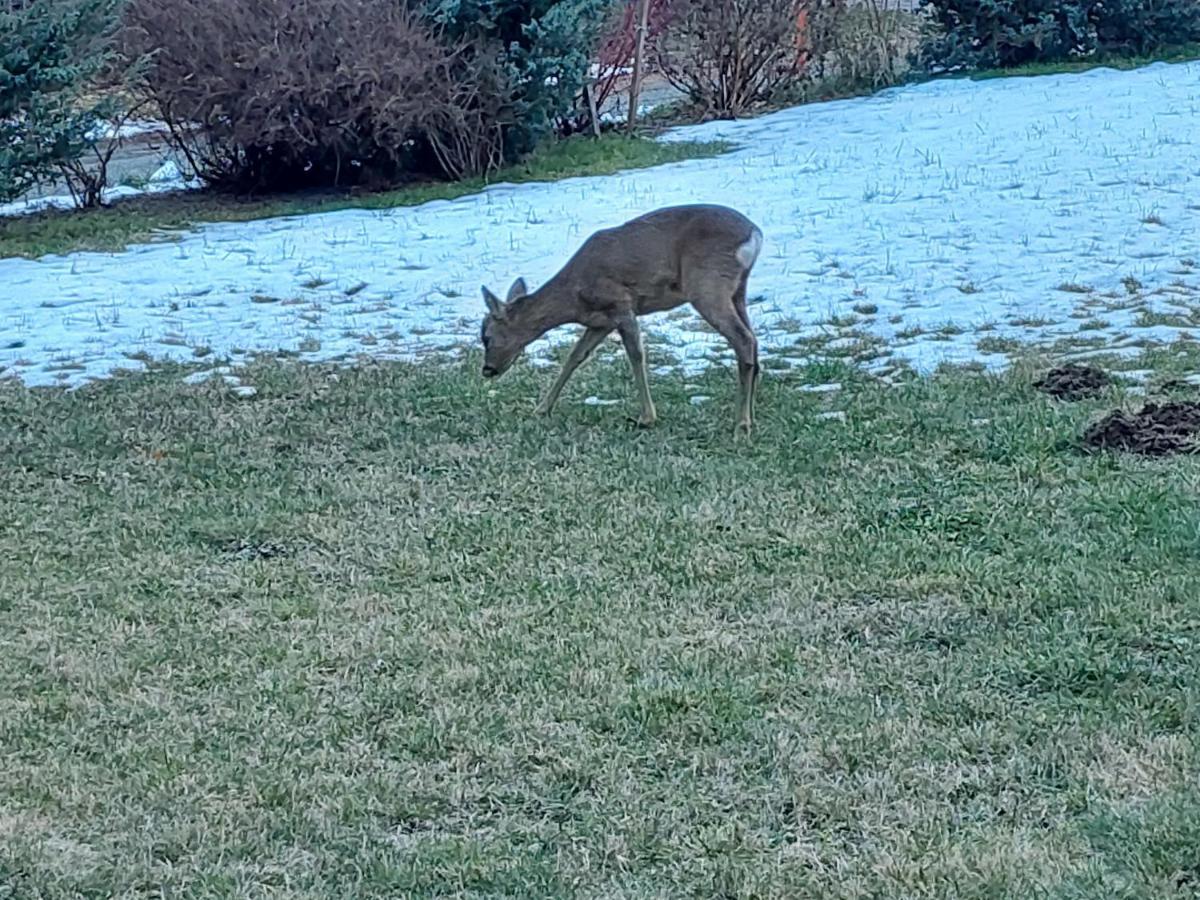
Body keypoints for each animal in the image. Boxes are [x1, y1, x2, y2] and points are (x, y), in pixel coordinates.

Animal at [475, 204, 758, 429]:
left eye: (486, 337)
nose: (487, 369)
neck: (574, 296)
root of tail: (754, 234)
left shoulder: (621, 304)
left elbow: (636, 355)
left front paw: (647, 417)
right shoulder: (601, 322)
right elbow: (575, 357)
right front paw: (541, 409)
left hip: (706, 285)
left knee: (743, 339)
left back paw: (741, 424)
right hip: (737, 289)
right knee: (753, 339)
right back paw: (751, 410)